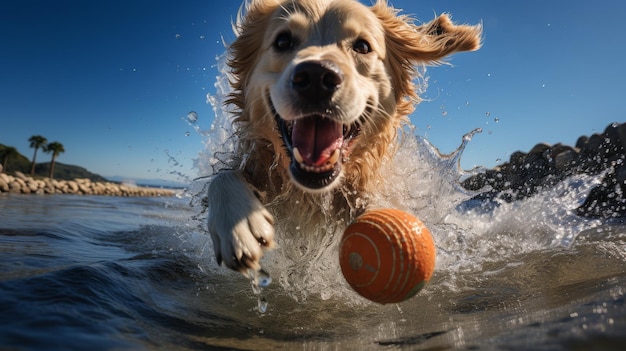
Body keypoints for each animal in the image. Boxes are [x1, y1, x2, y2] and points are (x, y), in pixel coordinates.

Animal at [207, 0, 480, 272]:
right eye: (283, 41)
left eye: (362, 46)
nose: (316, 77)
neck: (312, 193)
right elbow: (222, 176)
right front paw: (239, 226)